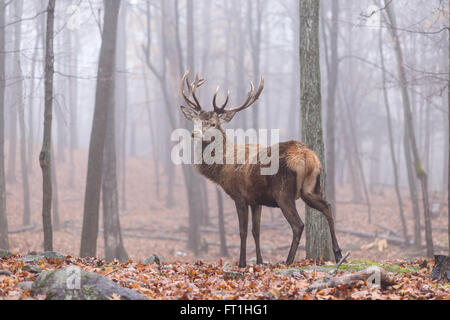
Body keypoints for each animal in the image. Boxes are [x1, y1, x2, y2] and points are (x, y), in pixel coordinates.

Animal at [178, 70, 342, 268]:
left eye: (213, 124)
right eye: (196, 120)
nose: (194, 134)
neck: (223, 168)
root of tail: (307, 156)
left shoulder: (239, 196)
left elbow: (243, 230)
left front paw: (242, 263)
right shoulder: (256, 199)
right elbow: (256, 231)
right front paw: (260, 261)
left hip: (283, 193)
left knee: (298, 224)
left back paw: (288, 261)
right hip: (311, 187)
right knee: (327, 207)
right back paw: (338, 253)